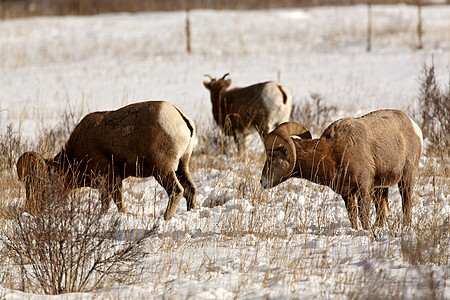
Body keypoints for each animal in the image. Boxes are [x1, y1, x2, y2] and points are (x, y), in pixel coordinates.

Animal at [17, 101, 197, 220]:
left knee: (176, 191)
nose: (30, 210)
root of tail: (182, 120)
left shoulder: (109, 178)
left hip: (161, 170)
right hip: (181, 167)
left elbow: (114, 203)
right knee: (190, 190)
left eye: (40, 184)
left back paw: (164, 219)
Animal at [262, 109, 424, 230]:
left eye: (272, 157)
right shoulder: (347, 194)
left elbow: (363, 216)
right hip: (381, 188)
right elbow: (353, 217)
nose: (262, 182)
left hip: (406, 178)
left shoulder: (364, 188)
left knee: (406, 204)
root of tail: (415, 127)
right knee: (382, 212)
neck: (333, 153)